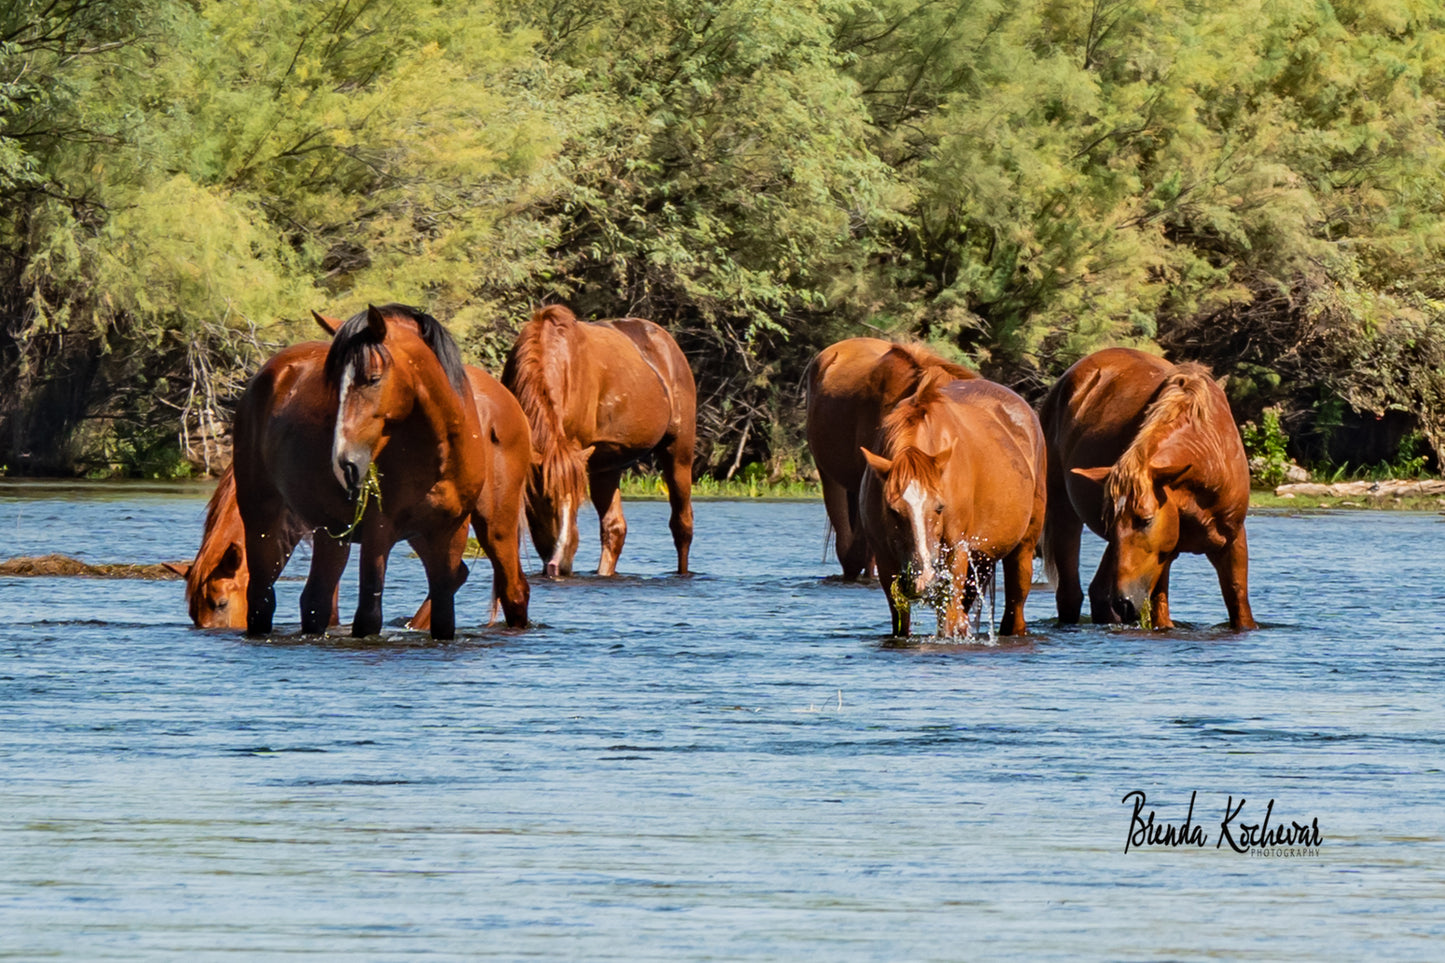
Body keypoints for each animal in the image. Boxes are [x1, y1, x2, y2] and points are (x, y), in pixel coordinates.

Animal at [233, 304, 506, 639]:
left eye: (373, 378)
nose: (344, 464)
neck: (438, 459)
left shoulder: (450, 533)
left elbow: (444, 615)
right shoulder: (379, 532)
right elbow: (369, 614)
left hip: (332, 533)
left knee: (315, 600)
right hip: (263, 521)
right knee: (261, 600)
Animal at [502, 305, 696, 577]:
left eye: (577, 502)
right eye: (545, 499)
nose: (560, 566)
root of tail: (670, 346)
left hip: (678, 453)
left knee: (682, 524)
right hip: (607, 466)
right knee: (614, 529)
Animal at [858, 372, 1046, 638]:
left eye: (939, 508)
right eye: (892, 510)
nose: (923, 578)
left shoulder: (956, 552)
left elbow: (949, 620)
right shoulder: (885, 562)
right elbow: (902, 625)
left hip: (1022, 550)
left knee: (1013, 613)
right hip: (981, 560)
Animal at [1039, 347, 1257, 631]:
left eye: (1146, 520)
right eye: (1109, 522)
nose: (1124, 603)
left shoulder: (1232, 543)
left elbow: (1239, 604)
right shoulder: (1163, 556)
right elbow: (1160, 610)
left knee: (1097, 593)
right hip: (1063, 514)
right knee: (1071, 595)